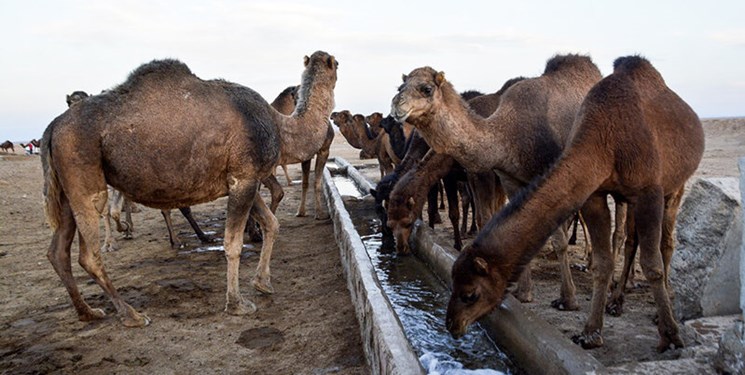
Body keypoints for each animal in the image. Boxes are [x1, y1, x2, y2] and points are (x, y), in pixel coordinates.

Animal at [44, 51, 338, 328]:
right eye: (337, 64)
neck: (280, 126)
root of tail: (52, 128)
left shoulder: (244, 180)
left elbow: (272, 224)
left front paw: (262, 282)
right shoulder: (244, 177)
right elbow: (233, 243)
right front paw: (236, 304)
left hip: (66, 189)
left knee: (57, 252)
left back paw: (88, 312)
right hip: (82, 173)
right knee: (88, 253)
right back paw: (132, 315)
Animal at [392, 54, 600, 310]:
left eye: (426, 88)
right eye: (400, 87)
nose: (396, 104)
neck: (509, 135)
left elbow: (558, 239)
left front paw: (568, 299)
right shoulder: (510, 180)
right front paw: (523, 293)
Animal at [444, 55, 700, 352]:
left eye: (470, 294)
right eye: (453, 284)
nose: (451, 325)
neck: (605, 139)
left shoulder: (649, 191)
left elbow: (652, 265)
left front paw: (670, 336)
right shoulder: (593, 195)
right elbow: (602, 263)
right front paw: (590, 332)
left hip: (674, 186)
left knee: (662, 242)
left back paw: (650, 307)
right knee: (630, 240)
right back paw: (616, 300)